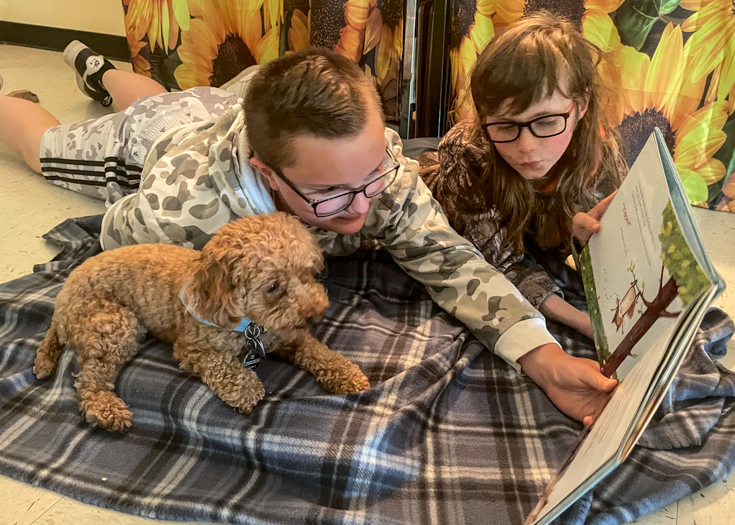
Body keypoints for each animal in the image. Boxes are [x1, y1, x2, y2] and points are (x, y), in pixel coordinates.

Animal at [33, 212, 368, 430]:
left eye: (308, 272)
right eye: (273, 286)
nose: (316, 315)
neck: (248, 323)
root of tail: (62, 300)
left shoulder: (285, 334)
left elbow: (316, 351)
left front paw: (347, 373)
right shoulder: (192, 349)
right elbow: (225, 367)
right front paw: (247, 389)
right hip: (115, 325)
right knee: (89, 378)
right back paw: (106, 408)